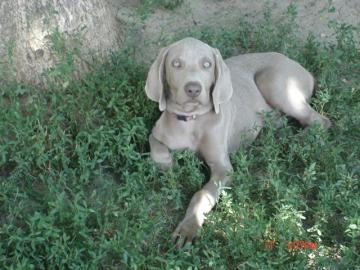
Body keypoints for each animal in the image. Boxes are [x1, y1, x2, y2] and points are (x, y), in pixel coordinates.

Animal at [145, 37, 330, 248]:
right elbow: (156, 146)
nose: (193, 89)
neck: (191, 120)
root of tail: (304, 69)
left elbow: (202, 195)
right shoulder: (156, 133)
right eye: (176, 63)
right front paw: (168, 166)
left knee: (320, 121)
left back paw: (293, 143)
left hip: (275, 82)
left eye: (207, 64)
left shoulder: (223, 168)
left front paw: (188, 228)